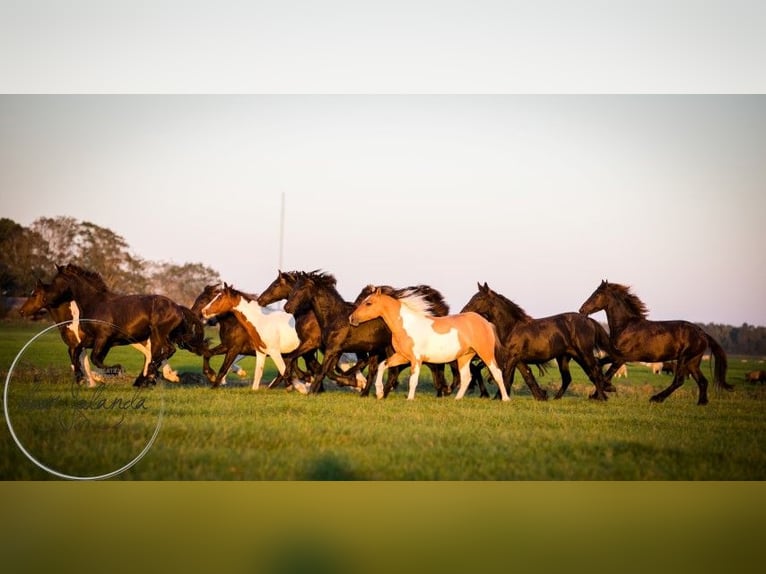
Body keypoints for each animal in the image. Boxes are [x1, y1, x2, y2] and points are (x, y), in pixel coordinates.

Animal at [19, 279, 181, 386]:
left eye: (34, 294)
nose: (21, 312)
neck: (72, 319)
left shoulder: (89, 342)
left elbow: (84, 362)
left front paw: (93, 380)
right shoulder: (82, 344)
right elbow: (78, 361)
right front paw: (89, 381)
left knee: (154, 353)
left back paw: (161, 376)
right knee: (151, 354)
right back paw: (155, 377)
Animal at [45, 264, 206, 387]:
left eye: (56, 281)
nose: (46, 300)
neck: (96, 303)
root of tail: (178, 307)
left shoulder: (103, 338)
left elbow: (95, 358)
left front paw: (117, 370)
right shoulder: (94, 339)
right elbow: (76, 351)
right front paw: (80, 377)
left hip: (159, 334)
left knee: (167, 350)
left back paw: (149, 375)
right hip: (155, 337)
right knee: (156, 354)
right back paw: (145, 379)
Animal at [349, 287, 510, 401]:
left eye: (368, 303)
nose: (351, 318)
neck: (407, 325)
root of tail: (485, 322)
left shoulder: (416, 359)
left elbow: (413, 380)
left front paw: (409, 399)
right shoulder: (402, 356)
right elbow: (383, 366)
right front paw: (379, 393)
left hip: (485, 353)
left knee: (497, 373)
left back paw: (505, 399)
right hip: (465, 357)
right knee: (466, 378)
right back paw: (457, 399)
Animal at [461, 282, 612, 401]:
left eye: (479, 298)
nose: (464, 311)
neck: (512, 327)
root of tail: (589, 320)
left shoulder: (512, 357)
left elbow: (506, 377)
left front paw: (500, 398)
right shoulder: (519, 360)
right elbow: (527, 377)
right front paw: (540, 396)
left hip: (584, 353)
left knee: (594, 371)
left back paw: (601, 397)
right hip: (567, 357)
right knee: (572, 377)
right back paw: (557, 398)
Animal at [579, 280, 733, 405]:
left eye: (597, 294)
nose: (582, 310)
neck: (626, 326)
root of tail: (702, 333)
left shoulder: (622, 357)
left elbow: (607, 373)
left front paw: (603, 391)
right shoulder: (615, 355)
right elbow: (600, 364)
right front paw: (599, 392)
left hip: (684, 358)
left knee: (679, 380)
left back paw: (656, 398)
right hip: (693, 361)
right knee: (702, 381)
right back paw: (701, 403)